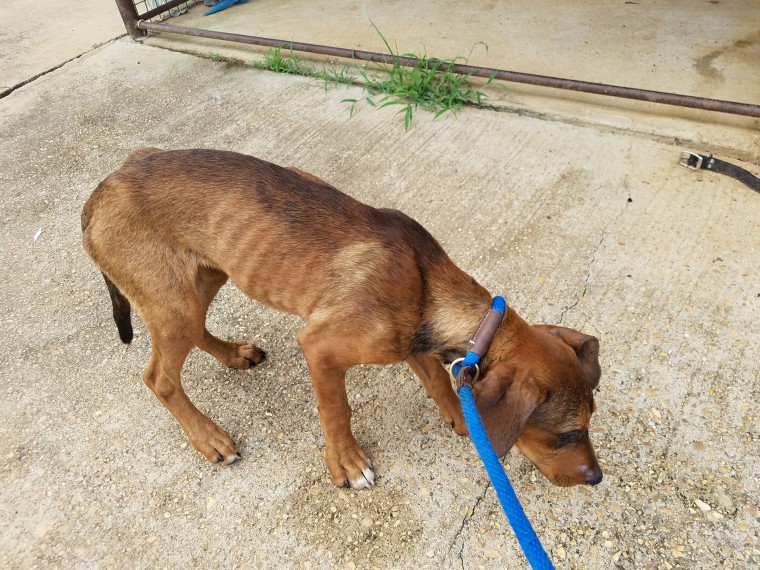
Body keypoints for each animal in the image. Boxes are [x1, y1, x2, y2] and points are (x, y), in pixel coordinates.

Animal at [81, 148, 604, 488]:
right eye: (566, 435)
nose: (597, 478)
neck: (427, 288)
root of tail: (100, 190)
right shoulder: (322, 348)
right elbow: (337, 410)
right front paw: (348, 463)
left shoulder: (410, 342)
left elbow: (438, 380)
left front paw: (461, 417)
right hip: (174, 303)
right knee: (160, 378)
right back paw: (209, 437)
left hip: (205, 277)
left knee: (197, 333)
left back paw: (234, 354)